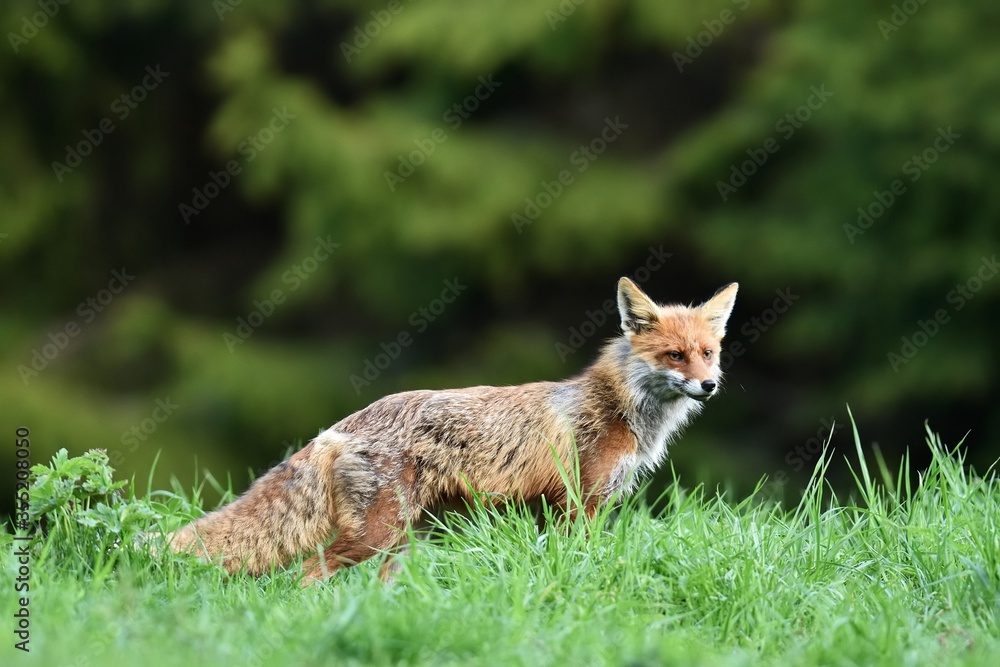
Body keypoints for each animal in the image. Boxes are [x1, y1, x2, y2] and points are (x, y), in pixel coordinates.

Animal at [170, 280, 736, 580]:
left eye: (708, 353)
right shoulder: (579, 504)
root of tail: (341, 426)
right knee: (308, 573)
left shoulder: (558, 509)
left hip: (400, 541)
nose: (709, 386)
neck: (619, 408)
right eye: (674, 356)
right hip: (377, 537)